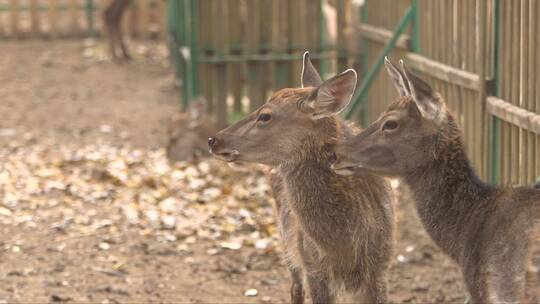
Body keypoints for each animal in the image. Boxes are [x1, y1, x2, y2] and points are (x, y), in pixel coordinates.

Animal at [209, 53, 394, 302]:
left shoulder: (381, 269)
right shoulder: (313, 266)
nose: (214, 139)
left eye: (265, 116)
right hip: (287, 238)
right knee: (295, 286)